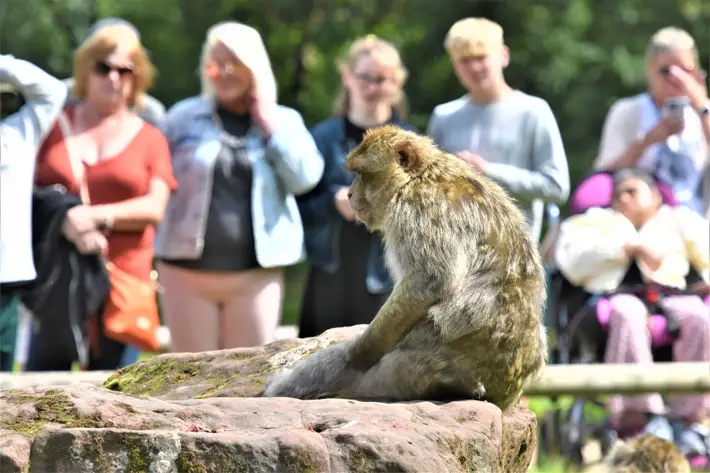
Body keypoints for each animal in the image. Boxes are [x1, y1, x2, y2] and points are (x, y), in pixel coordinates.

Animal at [264, 124, 548, 410]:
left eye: (361, 174)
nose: (349, 194)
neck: (419, 177)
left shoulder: (418, 209)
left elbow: (430, 280)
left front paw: (358, 353)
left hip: (418, 367)